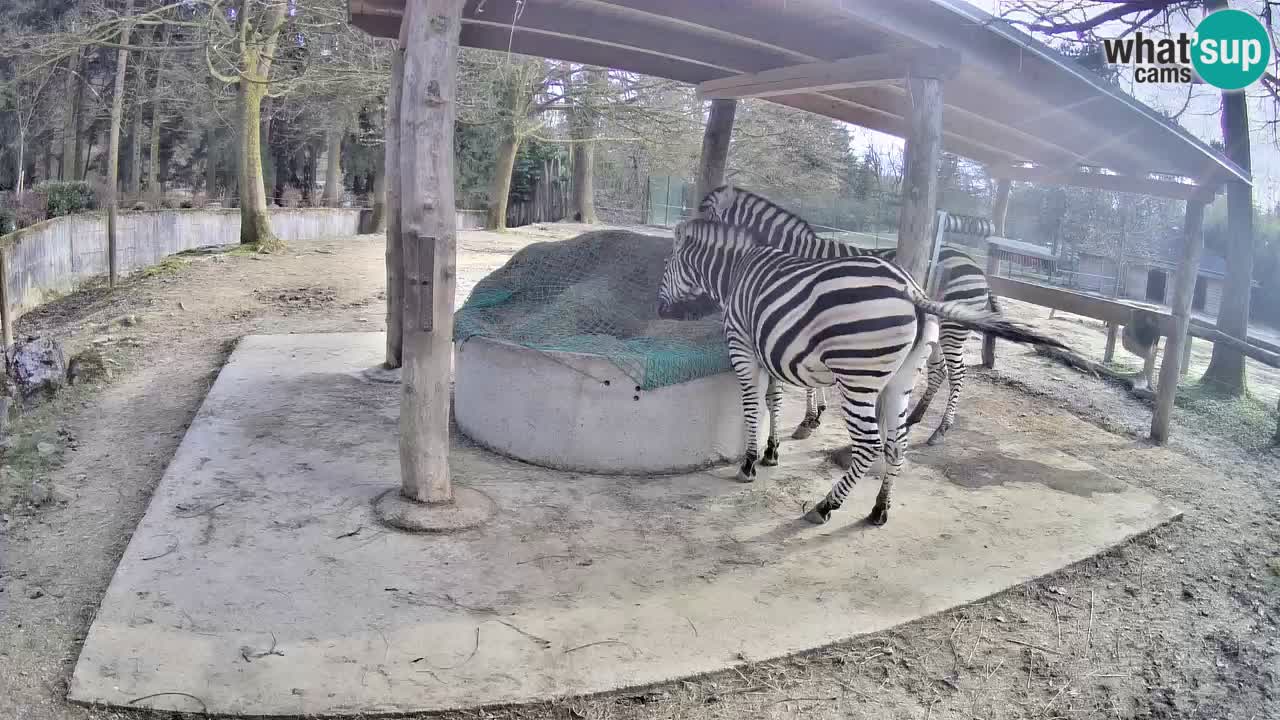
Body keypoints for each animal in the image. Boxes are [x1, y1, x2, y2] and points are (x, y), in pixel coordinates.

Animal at [657, 219, 1069, 525]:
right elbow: (774, 400)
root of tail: (912, 291)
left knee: (872, 442)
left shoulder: (743, 346)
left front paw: (749, 462)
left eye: (666, 266)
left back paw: (825, 506)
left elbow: (751, 405)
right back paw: (879, 509)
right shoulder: (767, 349)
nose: (662, 311)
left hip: (858, 378)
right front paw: (772, 452)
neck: (736, 272)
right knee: (898, 441)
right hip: (901, 379)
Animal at [699, 185, 996, 447]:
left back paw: (941, 429)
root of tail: (974, 265)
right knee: (939, 371)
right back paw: (915, 417)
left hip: (953, 330)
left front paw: (808, 420)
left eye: (703, 216)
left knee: (957, 373)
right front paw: (817, 413)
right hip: (937, 333)